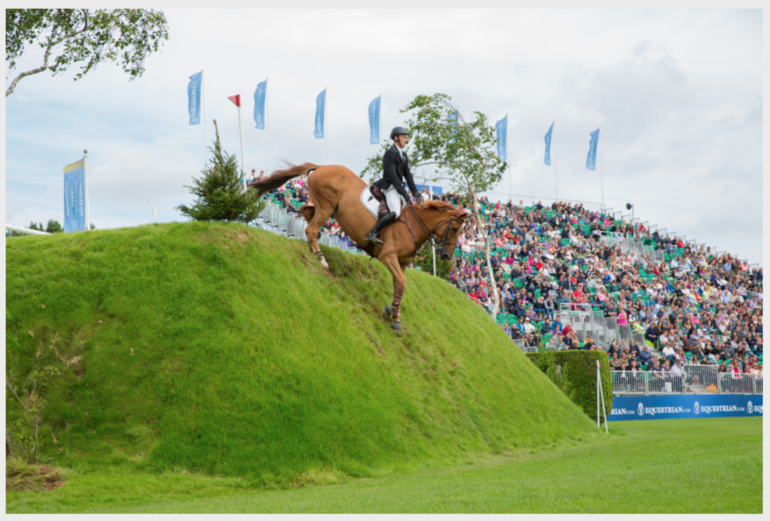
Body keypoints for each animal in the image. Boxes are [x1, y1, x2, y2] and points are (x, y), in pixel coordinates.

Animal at [250, 162, 468, 334]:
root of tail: (321, 167)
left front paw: (395, 318)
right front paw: (392, 313)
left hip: (326, 207)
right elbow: (403, 284)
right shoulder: (388, 257)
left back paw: (314, 244)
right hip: (327, 206)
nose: (446, 255)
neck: (412, 225)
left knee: (306, 212)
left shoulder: (402, 264)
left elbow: (399, 286)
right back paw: (322, 259)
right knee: (310, 229)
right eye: (454, 229)